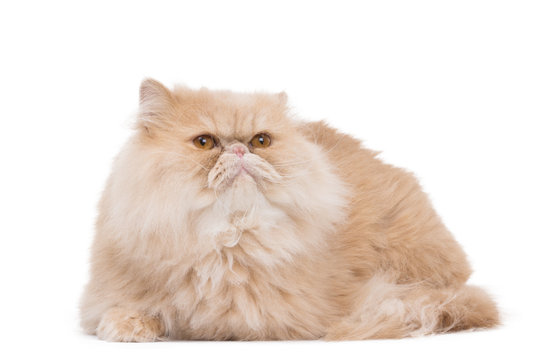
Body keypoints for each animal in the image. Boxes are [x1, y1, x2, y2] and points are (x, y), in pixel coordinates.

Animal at [79, 78, 498, 340]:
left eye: (261, 141)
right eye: (204, 142)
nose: (239, 150)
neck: (228, 237)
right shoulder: (104, 295)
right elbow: (119, 312)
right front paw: (128, 326)